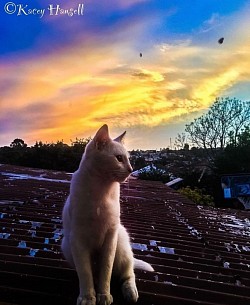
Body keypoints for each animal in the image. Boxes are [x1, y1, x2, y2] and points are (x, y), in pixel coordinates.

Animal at [61, 124, 153, 304]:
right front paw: (88, 297)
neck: (101, 190)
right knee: (94, 274)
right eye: (119, 158)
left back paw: (130, 293)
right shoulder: (77, 239)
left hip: (120, 246)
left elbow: (106, 272)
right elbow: (85, 274)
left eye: (128, 159)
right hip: (67, 245)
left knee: (128, 273)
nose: (131, 170)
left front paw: (104, 296)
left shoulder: (110, 237)